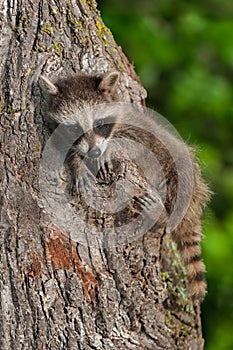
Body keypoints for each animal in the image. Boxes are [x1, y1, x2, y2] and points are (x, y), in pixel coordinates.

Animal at [39, 71, 210, 300]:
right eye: (74, 128)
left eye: (99, 123)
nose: (94, 152)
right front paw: (78, 163)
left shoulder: (136, 127)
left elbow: (132, 142)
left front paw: (105, 152)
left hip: (182, 172)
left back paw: (162, 218)